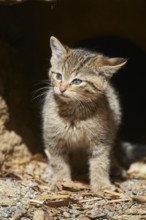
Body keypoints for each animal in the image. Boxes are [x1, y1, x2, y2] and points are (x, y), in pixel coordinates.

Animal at [41, 36, 126, 192]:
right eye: (58, 76)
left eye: (77, 81)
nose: (62, 89)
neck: (74, 113)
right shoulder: (53, 138)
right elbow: (58, 162)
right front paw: (60, 180)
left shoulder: (101, 139)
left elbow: (101, 162)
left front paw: (102, 185)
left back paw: (116, 168)